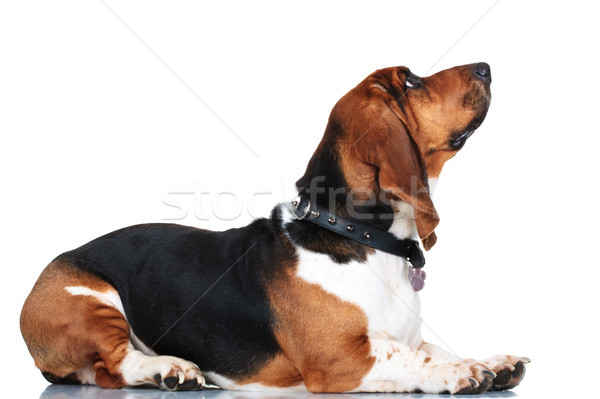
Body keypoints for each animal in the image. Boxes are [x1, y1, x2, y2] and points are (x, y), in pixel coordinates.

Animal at [19, 62, 528, 394]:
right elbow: (410, 356)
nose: (485, 66)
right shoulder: (339, 358)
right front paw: (462, 372)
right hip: (90, 301)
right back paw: (170, 369)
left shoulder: (404, 337)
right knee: (117, 365)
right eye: (411, 81)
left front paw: (490, 362)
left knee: (100, 371)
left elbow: (432, 347)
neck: (358, 237)